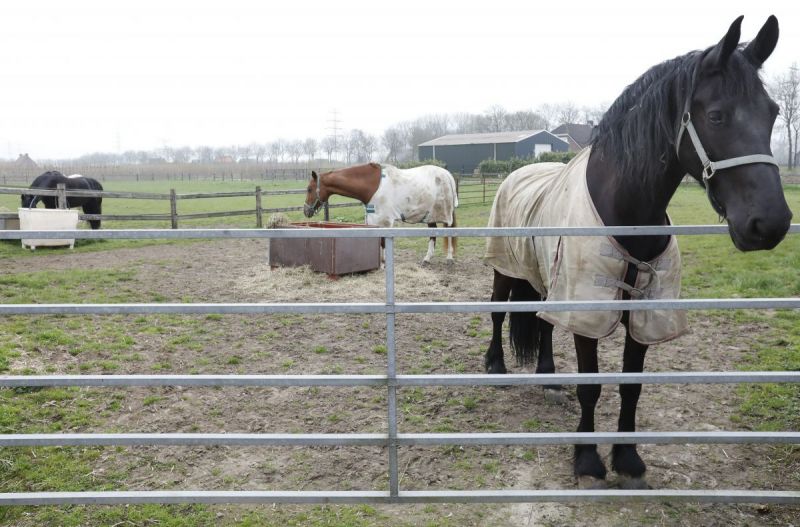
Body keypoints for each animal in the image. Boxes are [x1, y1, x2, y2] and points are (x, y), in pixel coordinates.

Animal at [484, 13, 792, 490]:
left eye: (772, 112)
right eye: (717, 115)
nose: (770, 223)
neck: (627, 212)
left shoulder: (645, 310)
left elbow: (632, 386)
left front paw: (627, 458)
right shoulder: (588, 307)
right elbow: (591, 386)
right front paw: (587, 460)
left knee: (544, 323)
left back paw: (548, 378)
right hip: (506, 267)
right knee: (498, 311)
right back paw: (496, 368)